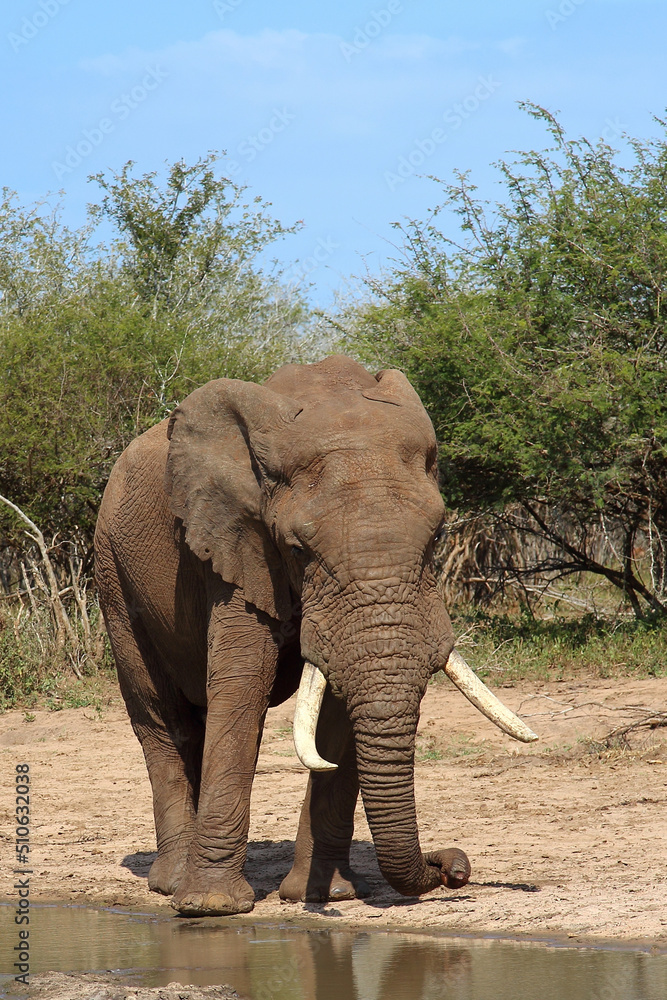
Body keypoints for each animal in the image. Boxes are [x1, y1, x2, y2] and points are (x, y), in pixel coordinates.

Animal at [94, 354, 536, 917]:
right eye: (298, 549)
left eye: (438, 535)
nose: (454, 867)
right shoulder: (237, 544)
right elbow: (242, 683)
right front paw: (212, 906)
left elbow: (337, 705)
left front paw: (328, 895)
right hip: (112, 572)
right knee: (161, 718)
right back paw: (171, 884)